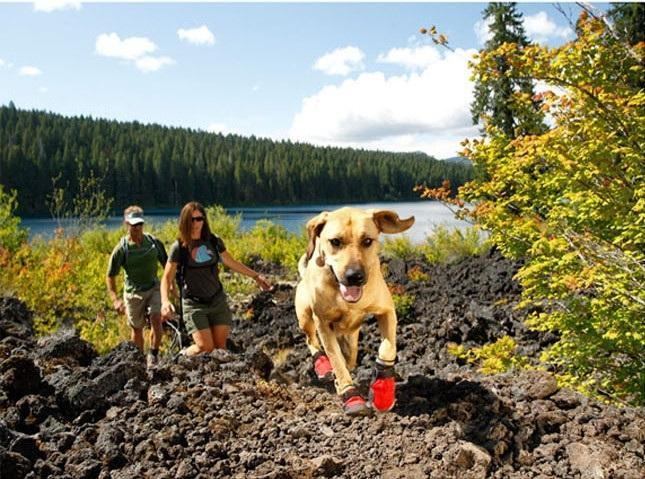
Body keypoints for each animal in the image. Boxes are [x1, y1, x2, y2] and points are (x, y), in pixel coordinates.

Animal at [296, 207, 416, 416]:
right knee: (311, 341)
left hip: (352, 336)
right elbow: (336, 361)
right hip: (305, 316)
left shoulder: (387, 311)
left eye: (367, 240)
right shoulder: (323, 323)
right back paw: (323, 366)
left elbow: (388, 348)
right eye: (335, 241)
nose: (354, 276)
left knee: (350, 356)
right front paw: (350, 395)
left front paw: (383, 389)